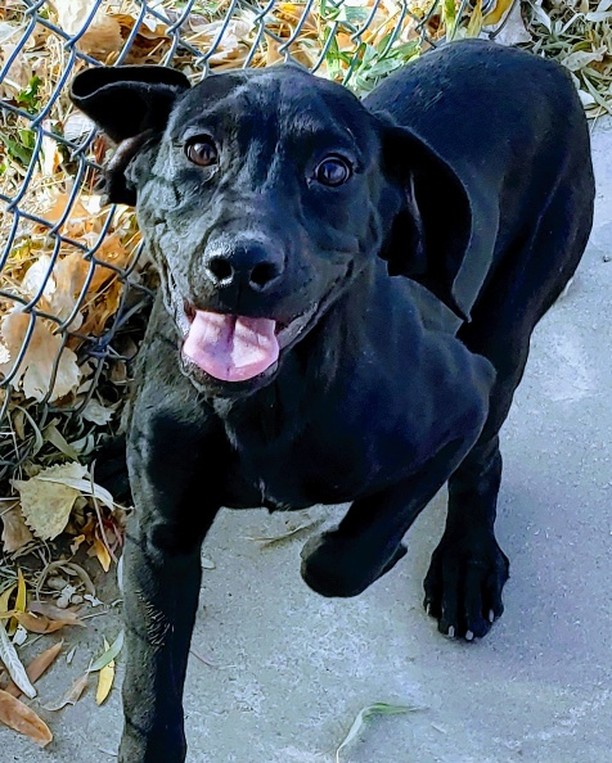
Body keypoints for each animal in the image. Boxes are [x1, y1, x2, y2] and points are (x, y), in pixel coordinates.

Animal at [70, 38, 592, 760]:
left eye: (334, 169)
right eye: (199, 149)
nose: (241, 265)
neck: (260, 406)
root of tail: (539, 63)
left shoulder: (463, 400)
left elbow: (341, 558)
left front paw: (367, 548)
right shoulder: (158, 544)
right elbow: (150, 690)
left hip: (507, 331)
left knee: (484, 460)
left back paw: (466, 564)